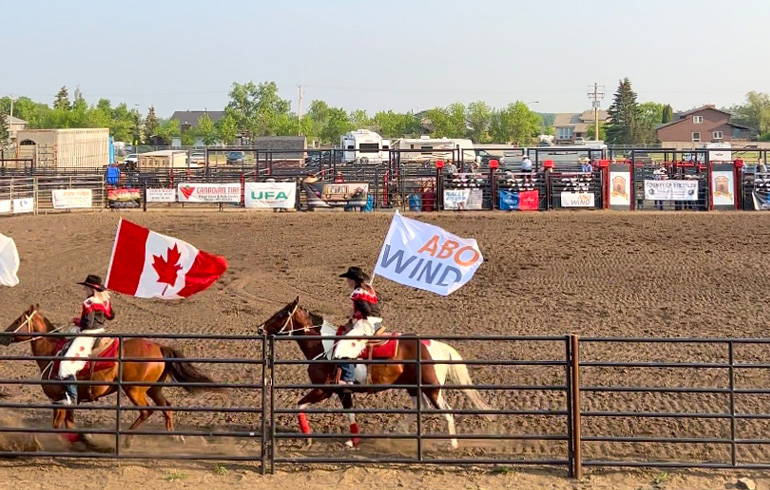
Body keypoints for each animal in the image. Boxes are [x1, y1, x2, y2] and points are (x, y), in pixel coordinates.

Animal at [2, 306, 219, 452]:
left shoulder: (59, 400)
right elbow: (70, 425)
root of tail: (159, 347)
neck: (52, 353)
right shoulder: (69, 400)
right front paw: (86, 439)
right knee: (166, 406)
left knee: (146, 411)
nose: (3, 335)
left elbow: (57, 427)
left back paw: (127, 441)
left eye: (18, 320)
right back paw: (175, 437)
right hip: (153, 388)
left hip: (134, 390)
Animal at [255, 296, 488, 450]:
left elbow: (299, 405)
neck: (325, 347)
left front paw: (308, 437)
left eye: (281, 315)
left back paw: (452, 444)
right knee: (420, 407)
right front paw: (353, 440)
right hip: (413, 387)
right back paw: (397, 431)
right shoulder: (343, 392)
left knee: (447, 412)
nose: (260, 328)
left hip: (432, 389)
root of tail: (435, 345)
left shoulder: (323, 390)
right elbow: (350, 413)